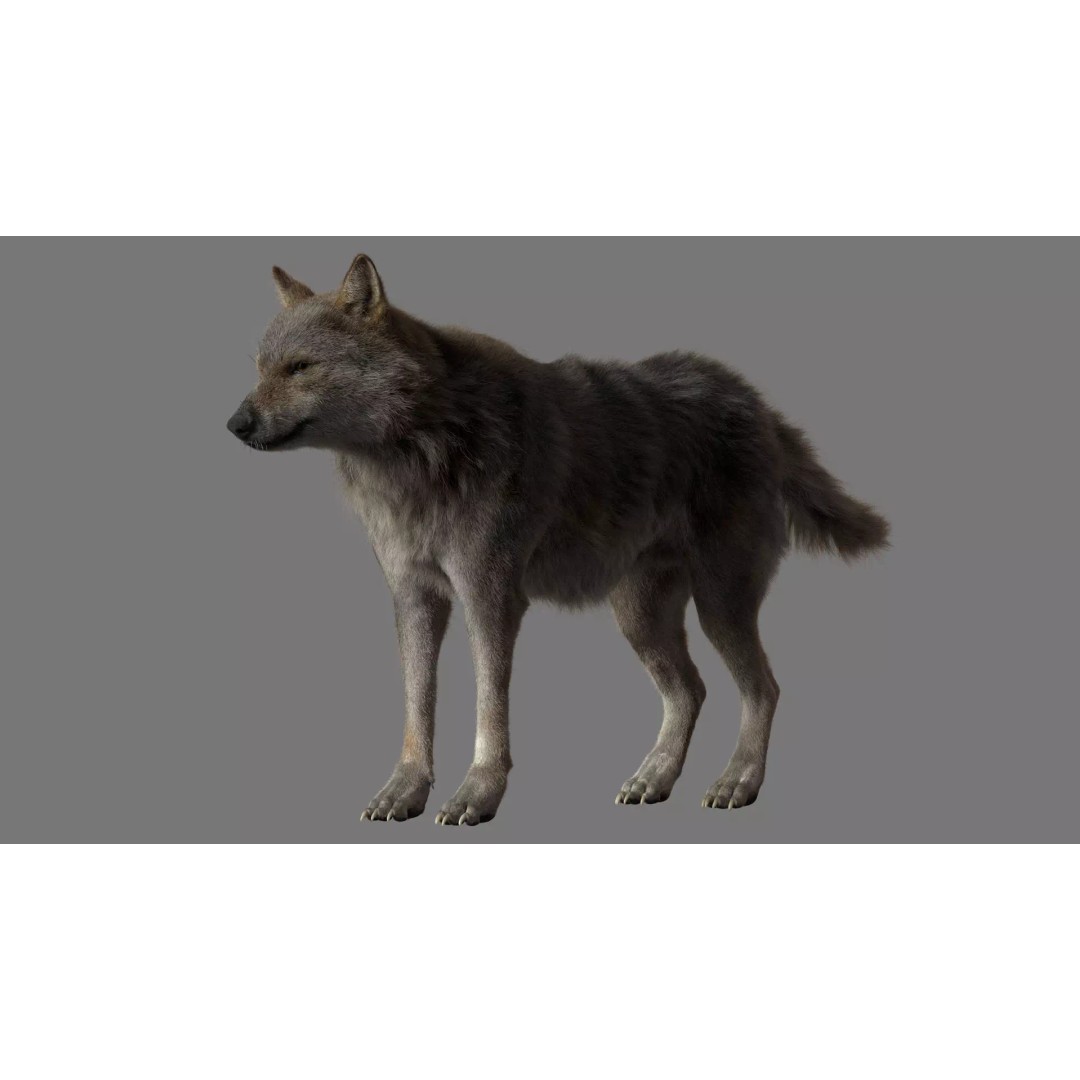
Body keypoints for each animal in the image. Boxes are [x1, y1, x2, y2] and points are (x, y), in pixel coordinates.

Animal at [227, 254, 889, 826]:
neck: (424, 445)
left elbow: (488, 708)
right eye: (259, 367)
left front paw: (478, 795)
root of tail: (756, 403)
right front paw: (404, 791)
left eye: (300, 367)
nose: (234, 424)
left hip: (718, 605)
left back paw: (737, 783)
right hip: (641, 617)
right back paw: (654, 780)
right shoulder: (414, 599)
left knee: (763, 690)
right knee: (691, 691)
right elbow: (418, 703)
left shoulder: (491, 599)